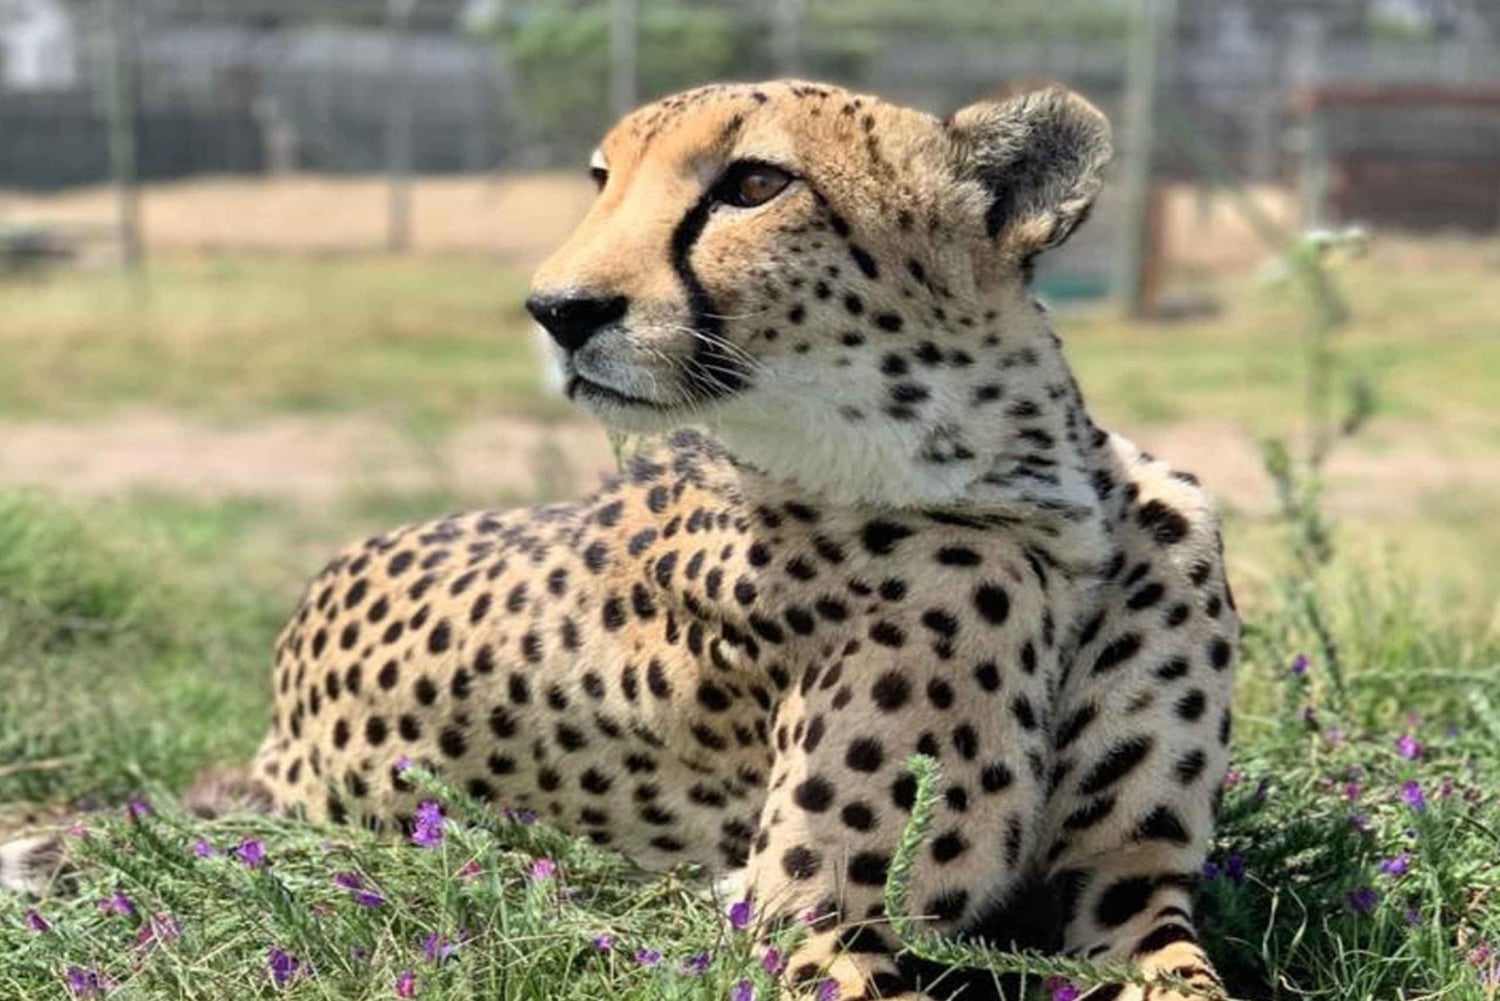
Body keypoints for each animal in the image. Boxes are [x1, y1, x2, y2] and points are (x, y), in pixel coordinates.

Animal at [6, 81, 1240, 1001]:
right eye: (603, 183)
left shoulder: (1127, 886)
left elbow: (1190, 974)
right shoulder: (811, 910)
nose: (558, 309)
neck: (1033, 500)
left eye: (754, 184)